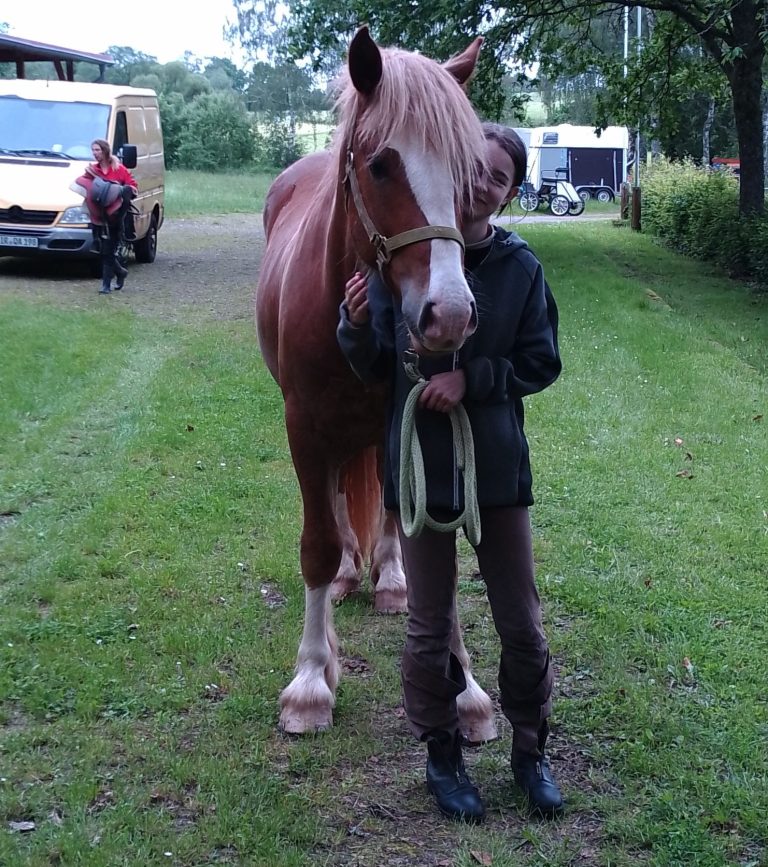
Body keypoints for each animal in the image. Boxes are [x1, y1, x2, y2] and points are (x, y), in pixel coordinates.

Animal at [256, 26, 497, 741]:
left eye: (467, 173)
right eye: (381, 165)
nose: (450, 314)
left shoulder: (422, 418)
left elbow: (434, 555)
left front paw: (468, 689)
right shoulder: (304, 427)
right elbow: (315, 541)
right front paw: (312, 679)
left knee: (388, 510)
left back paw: (387, 578)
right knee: (337, 501)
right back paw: (345, 576)